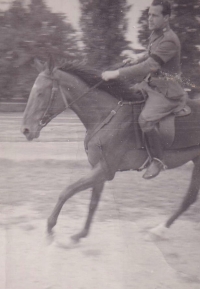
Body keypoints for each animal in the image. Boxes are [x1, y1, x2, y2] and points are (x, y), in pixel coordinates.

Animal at [21, 58, 200, 241]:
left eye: (40, 93)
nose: (26, 130)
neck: (106, 116)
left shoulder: (105, 171)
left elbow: (67, 191)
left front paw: (50, 227)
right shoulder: (99, 168)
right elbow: (93, 202)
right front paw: (80, 235)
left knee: (188, 198)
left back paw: (159, 230)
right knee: (190, 198)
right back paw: (159, 229)